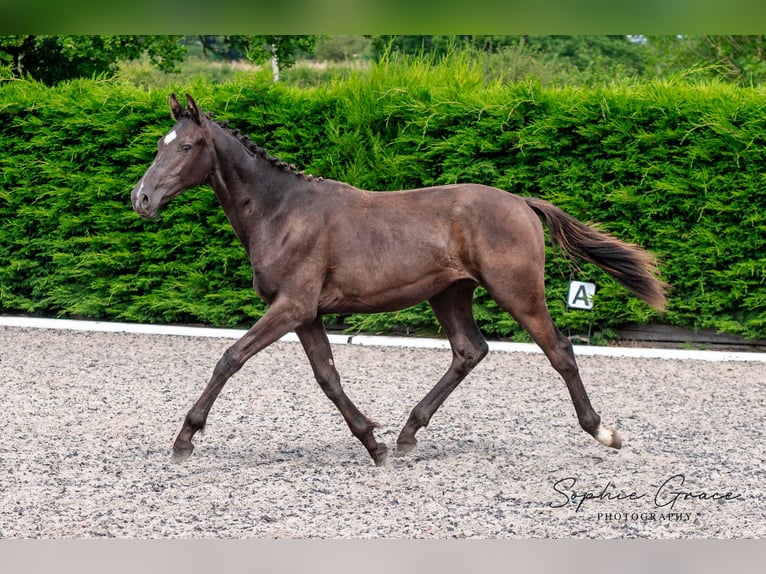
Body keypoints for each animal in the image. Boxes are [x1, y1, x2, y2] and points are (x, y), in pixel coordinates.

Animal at [130, 94, 664, 470]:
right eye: (159, 145)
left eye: (185, 146)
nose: (141, 198)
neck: (280, 211)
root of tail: (522, 203)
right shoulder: (307, 314)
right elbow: (328, 377)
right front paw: (375, 443)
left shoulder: (291, 307)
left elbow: (230, 358)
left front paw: (184, 440)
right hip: (450, 294)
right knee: (469, 351)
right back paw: (409, 434)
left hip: (518, 293)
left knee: (560, 351)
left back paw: (603, 432)